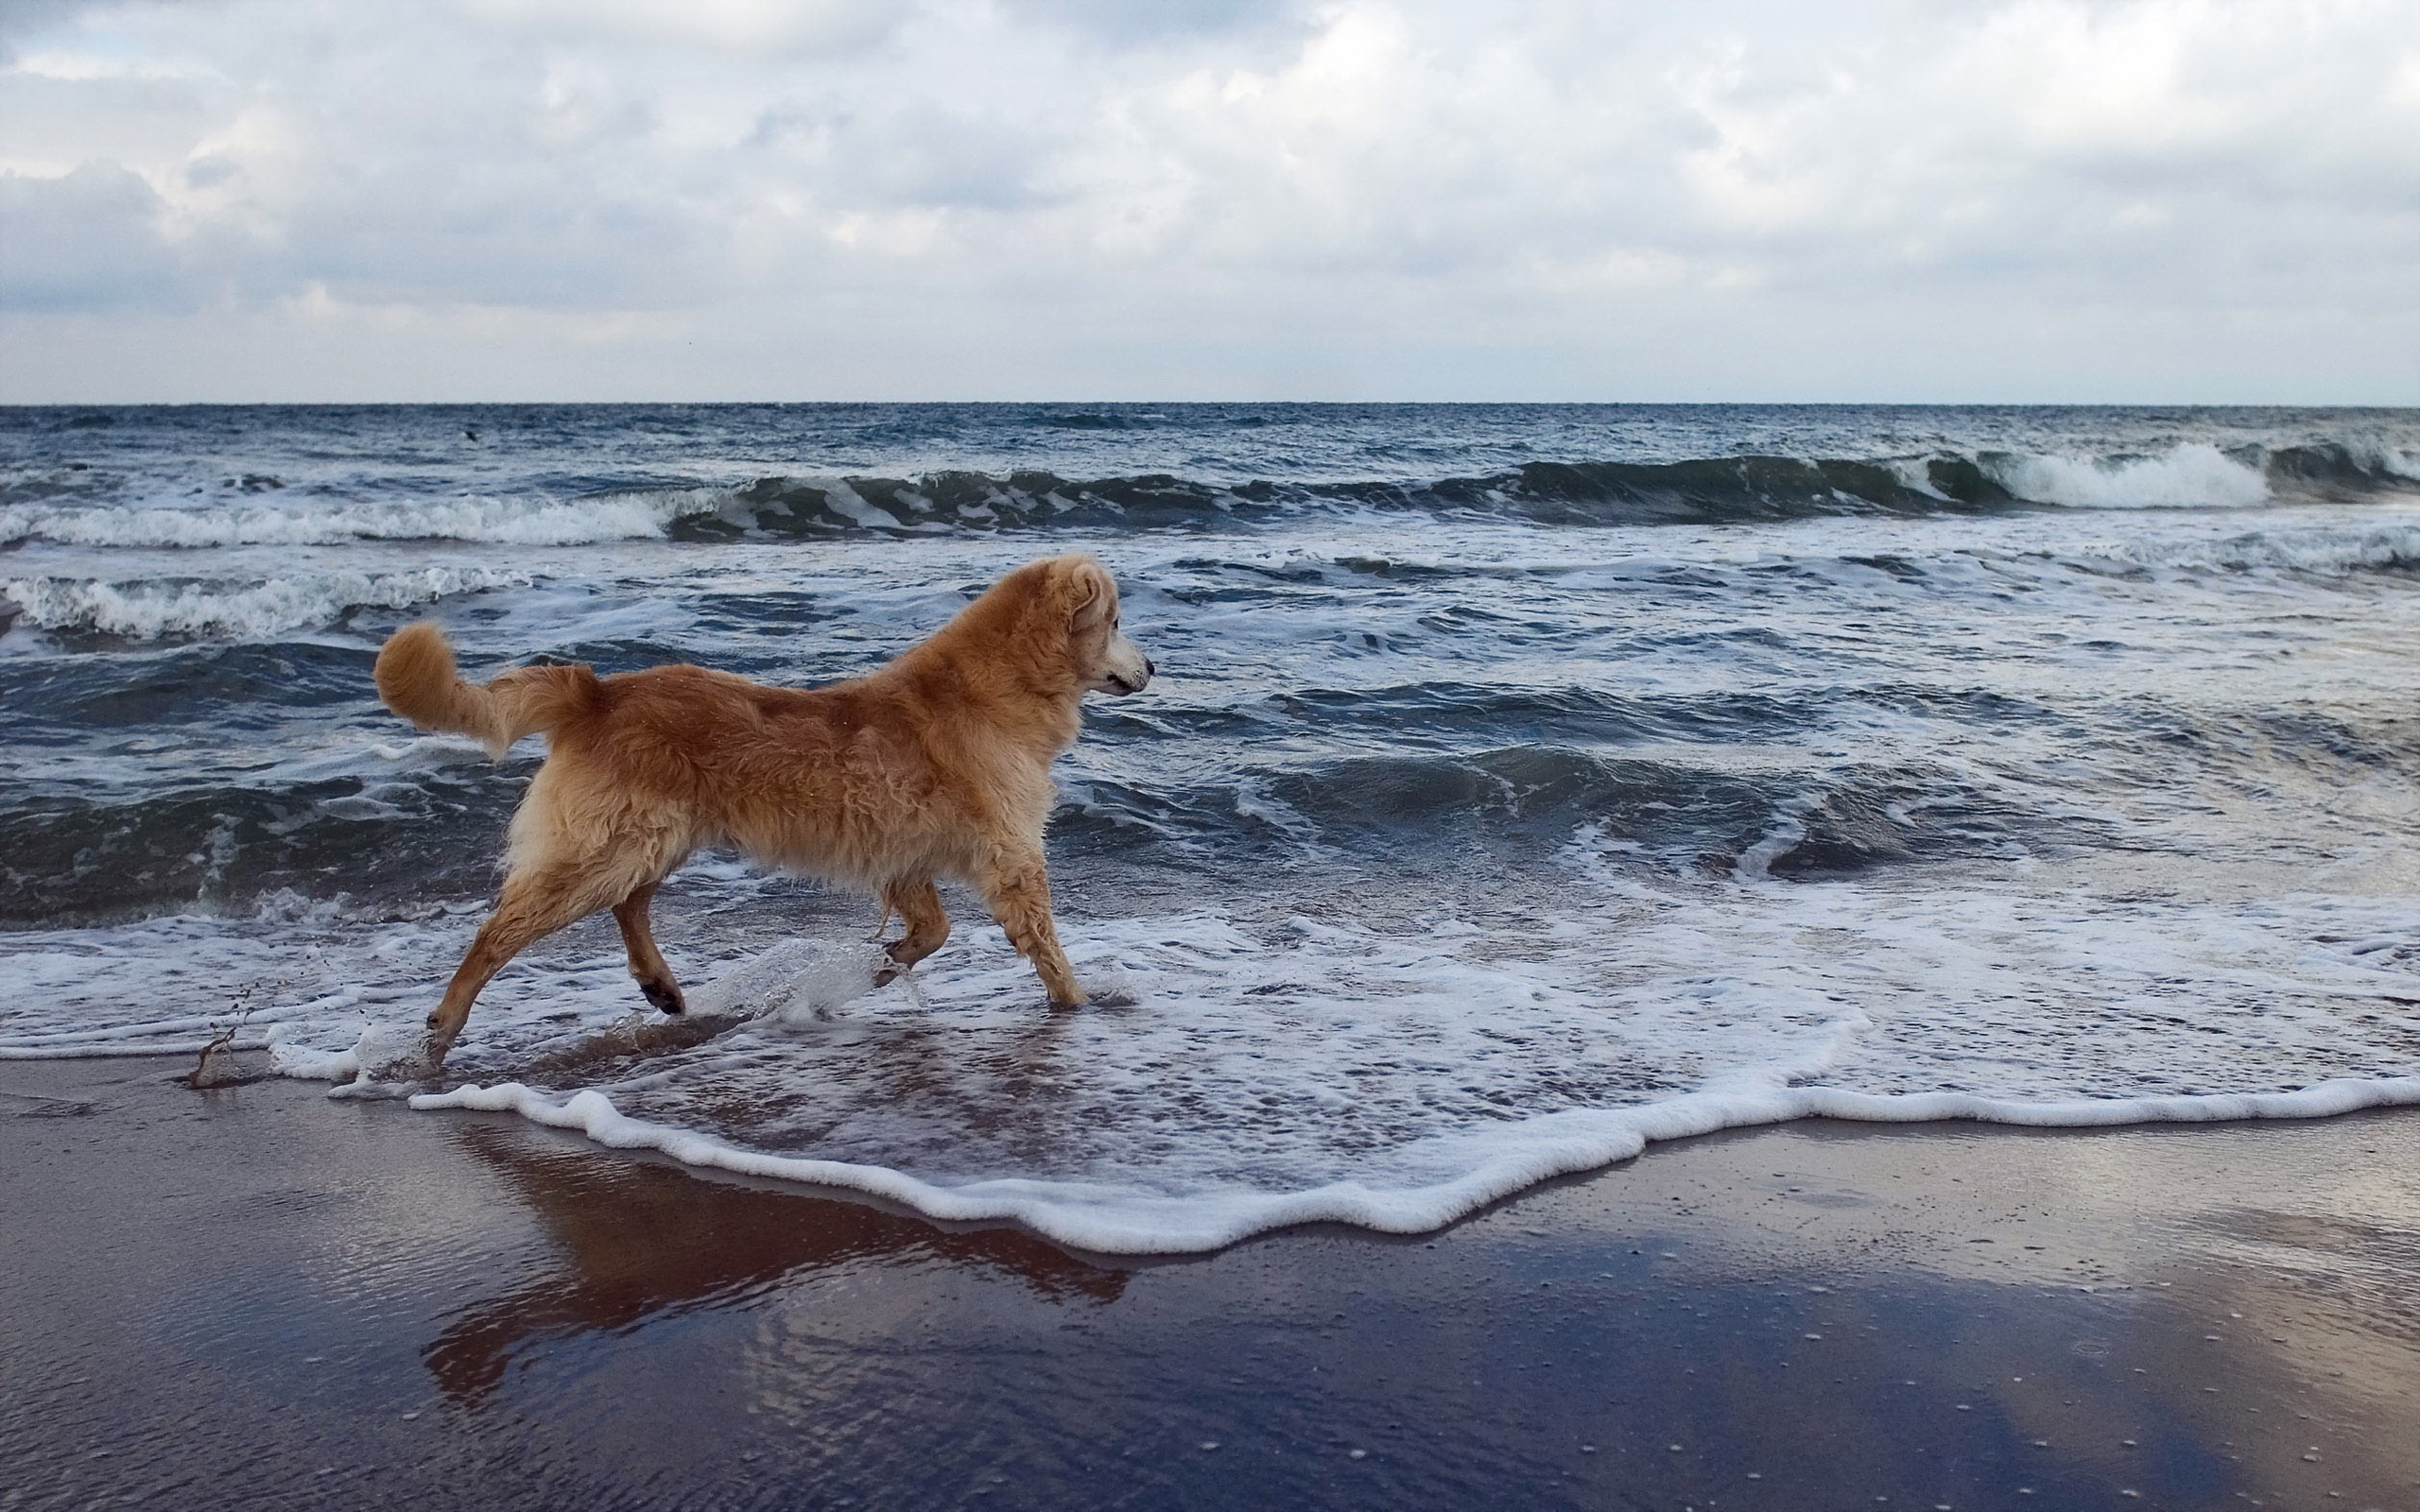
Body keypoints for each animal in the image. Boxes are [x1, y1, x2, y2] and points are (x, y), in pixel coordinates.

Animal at [368, 554, 1151, 1059]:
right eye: (1116, 622)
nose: (1153, 666)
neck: (994, 688)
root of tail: (599, 691)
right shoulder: (1011, 855)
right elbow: (1042, 945)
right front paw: (1078, 1004)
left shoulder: (905, 857)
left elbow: (932, 932)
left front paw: (878, 968)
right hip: (608, 846)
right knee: (502, 930)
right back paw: (445, 1023)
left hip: (655, 837)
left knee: (630, 904)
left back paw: (661, 987)